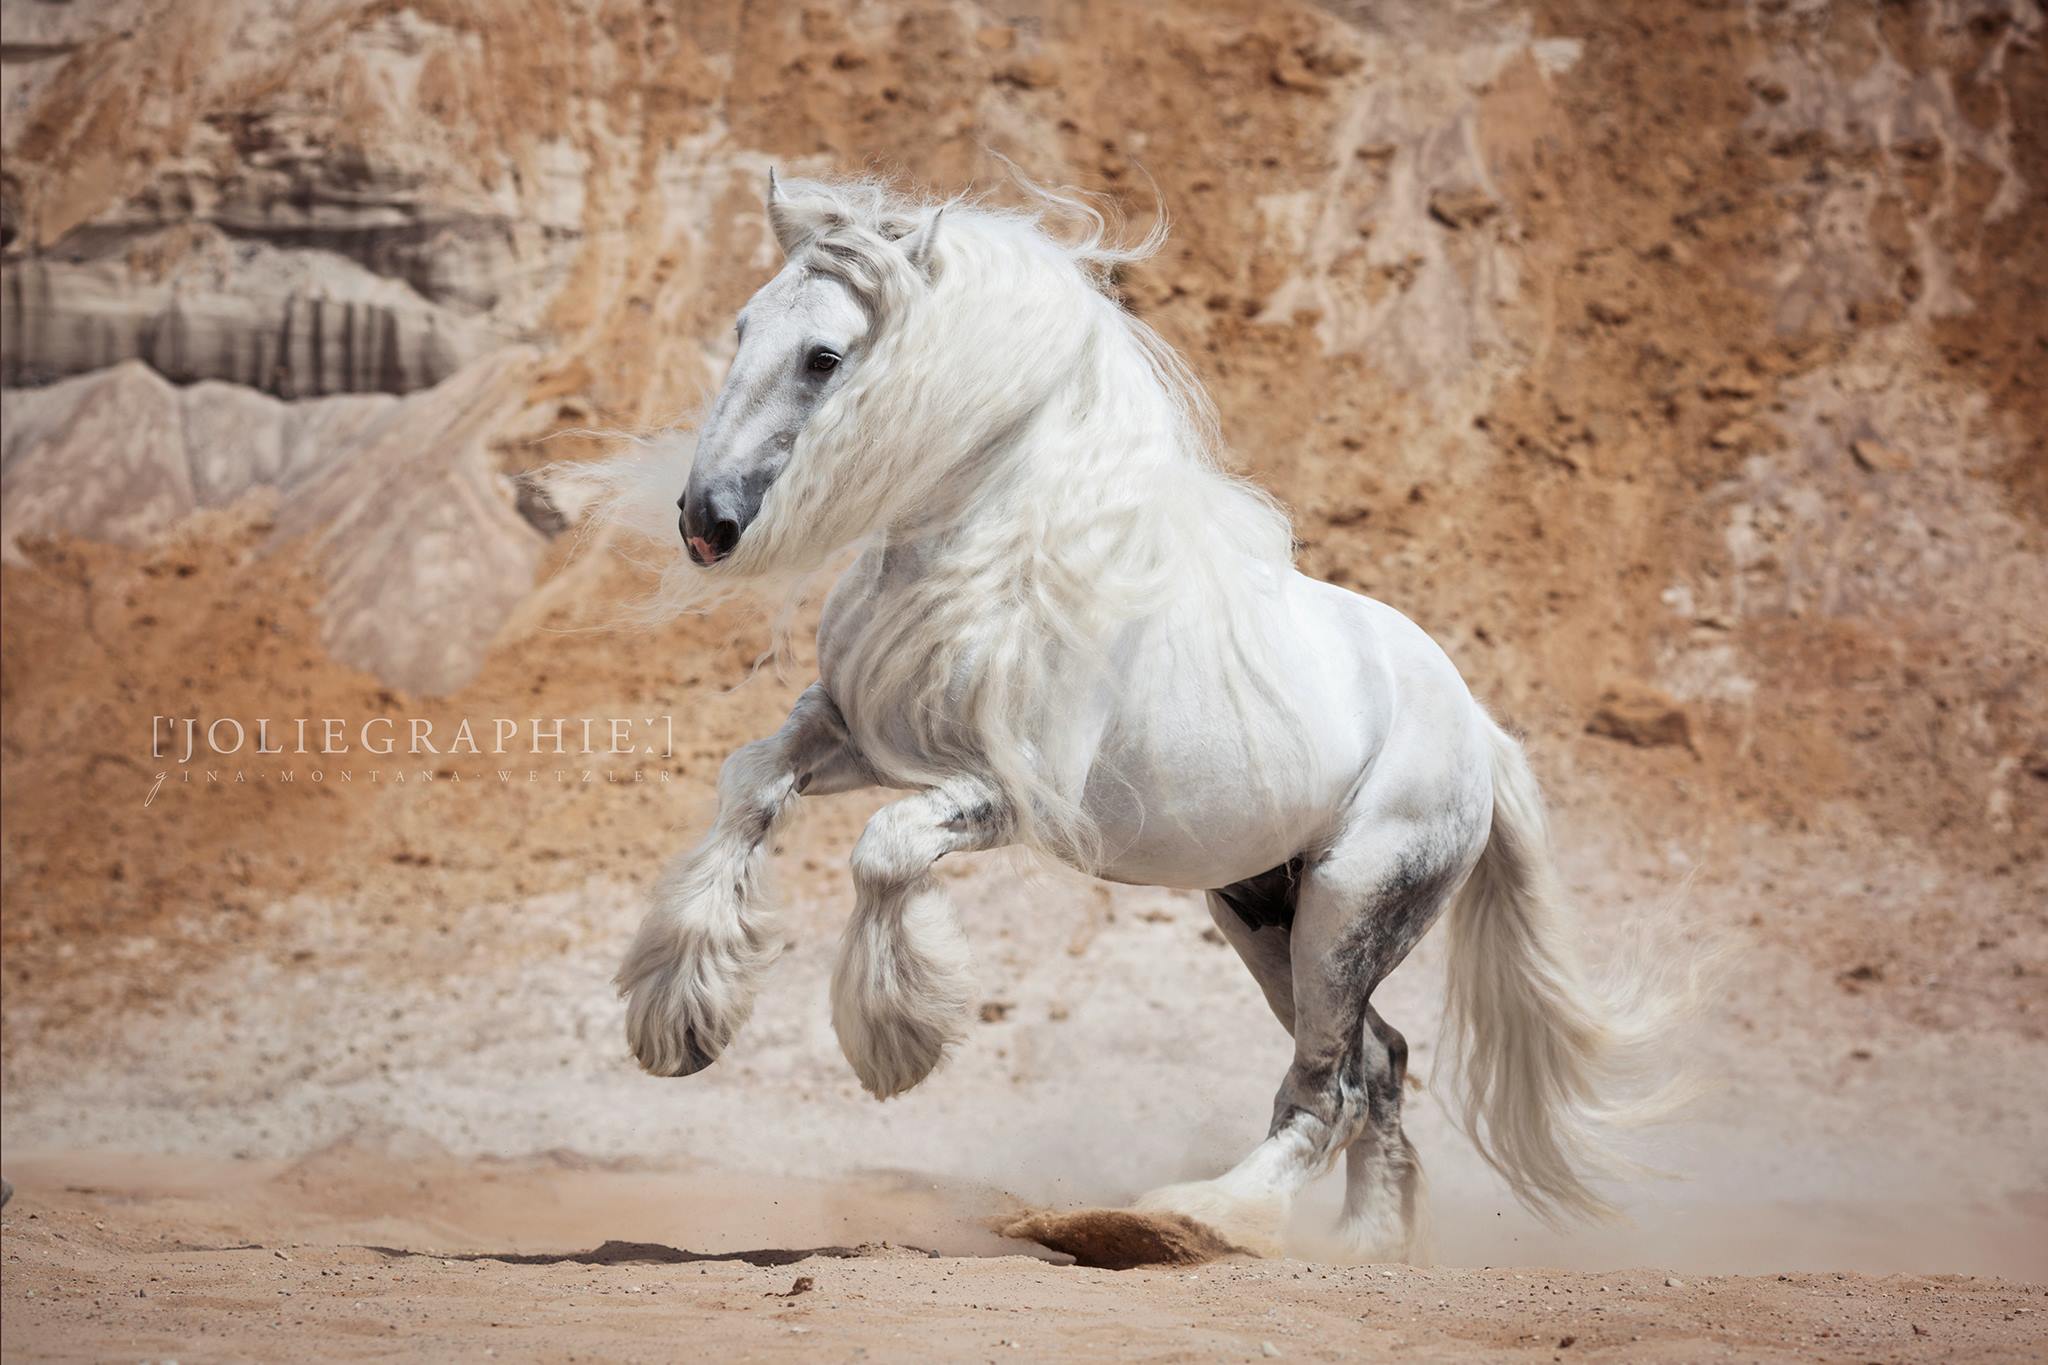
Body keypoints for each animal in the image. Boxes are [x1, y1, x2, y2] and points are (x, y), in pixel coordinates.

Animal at [598, 175, 1679, 1268]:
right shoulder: (853, 735)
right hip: (1262, 914)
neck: (994, 560)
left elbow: (885, 849)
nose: (704, 522)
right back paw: (1364, 1244)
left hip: (1349, 907)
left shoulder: (1008, 795)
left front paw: (896, 1041)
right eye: (743, 327)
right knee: (1379, 1062)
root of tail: (1478, 734)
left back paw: (1189, 1218)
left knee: (1329, 1089)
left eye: (822, 356)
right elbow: (748, 787)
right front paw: (680, 1023)